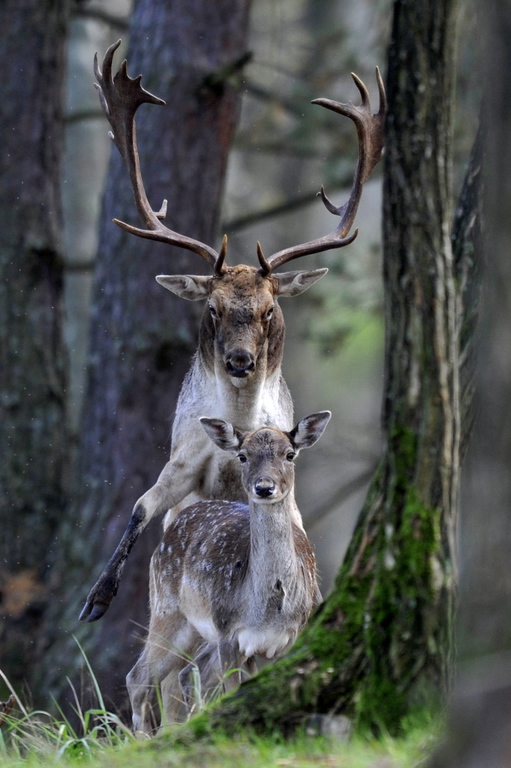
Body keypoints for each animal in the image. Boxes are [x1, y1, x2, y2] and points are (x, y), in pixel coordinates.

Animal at [79, 39, 384, 620]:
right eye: (214, 308)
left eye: (269, 310)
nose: (240, 361)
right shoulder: (185, 463)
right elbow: (140, 506)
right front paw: (96, 598)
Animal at [125, 412, 330, 728]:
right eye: (243, 456)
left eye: (290, 454)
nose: (264, 487)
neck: (268, 612)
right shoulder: (229, 634)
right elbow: (232, 691)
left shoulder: (295, 634)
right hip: (166, 609)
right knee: (139, 678)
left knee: (186, 673)